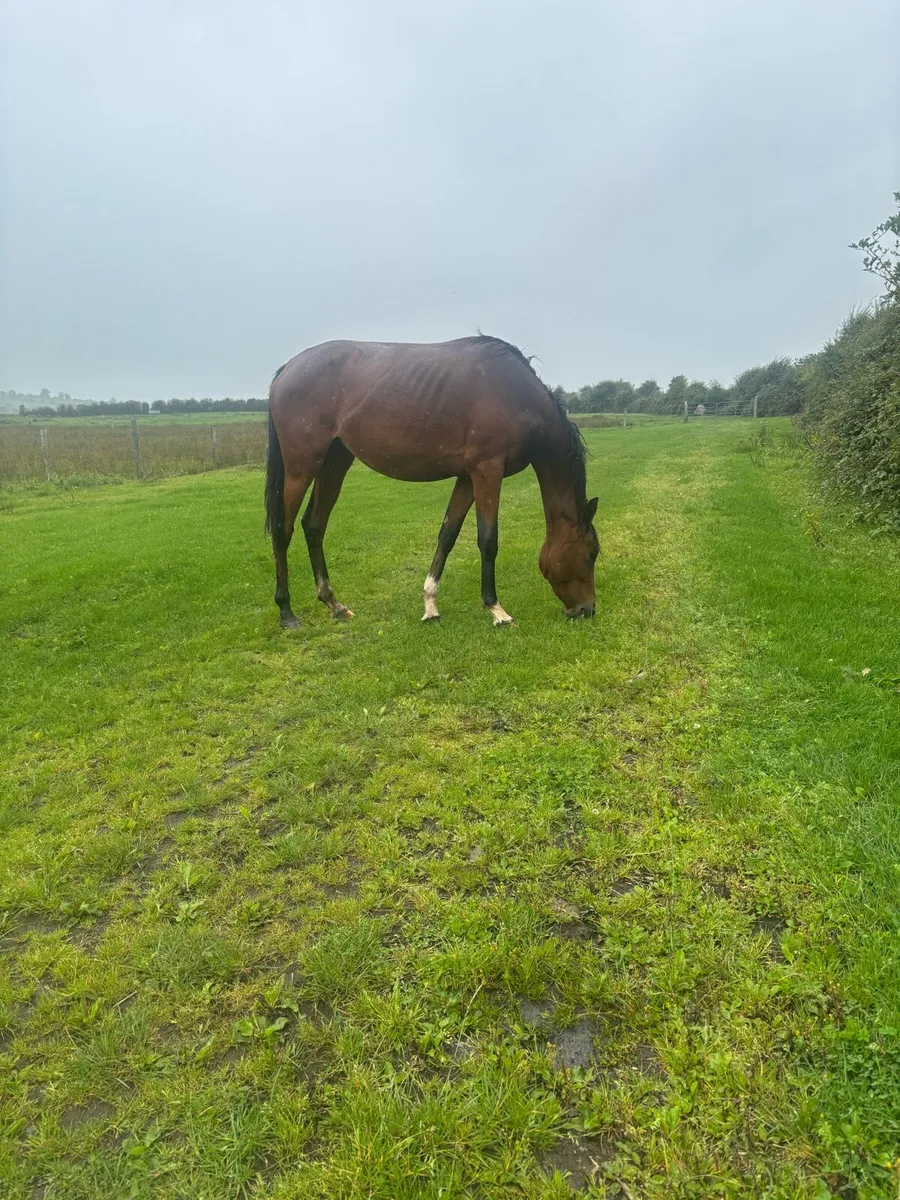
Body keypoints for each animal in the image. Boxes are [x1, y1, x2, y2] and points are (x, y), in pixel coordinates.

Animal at [264, 335, 599, 628]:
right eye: (591, 554)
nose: (587, 610)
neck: (519, 395)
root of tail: (288, 369)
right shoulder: (487, 470)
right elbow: (488, 539)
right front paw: (496, 609)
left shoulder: (467, 477)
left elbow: (447, 535)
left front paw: (430, 605)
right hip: (301, 467)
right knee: (283, 529)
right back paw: (286, 612)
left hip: (334, 463)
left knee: (314, 525)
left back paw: (335, 604)